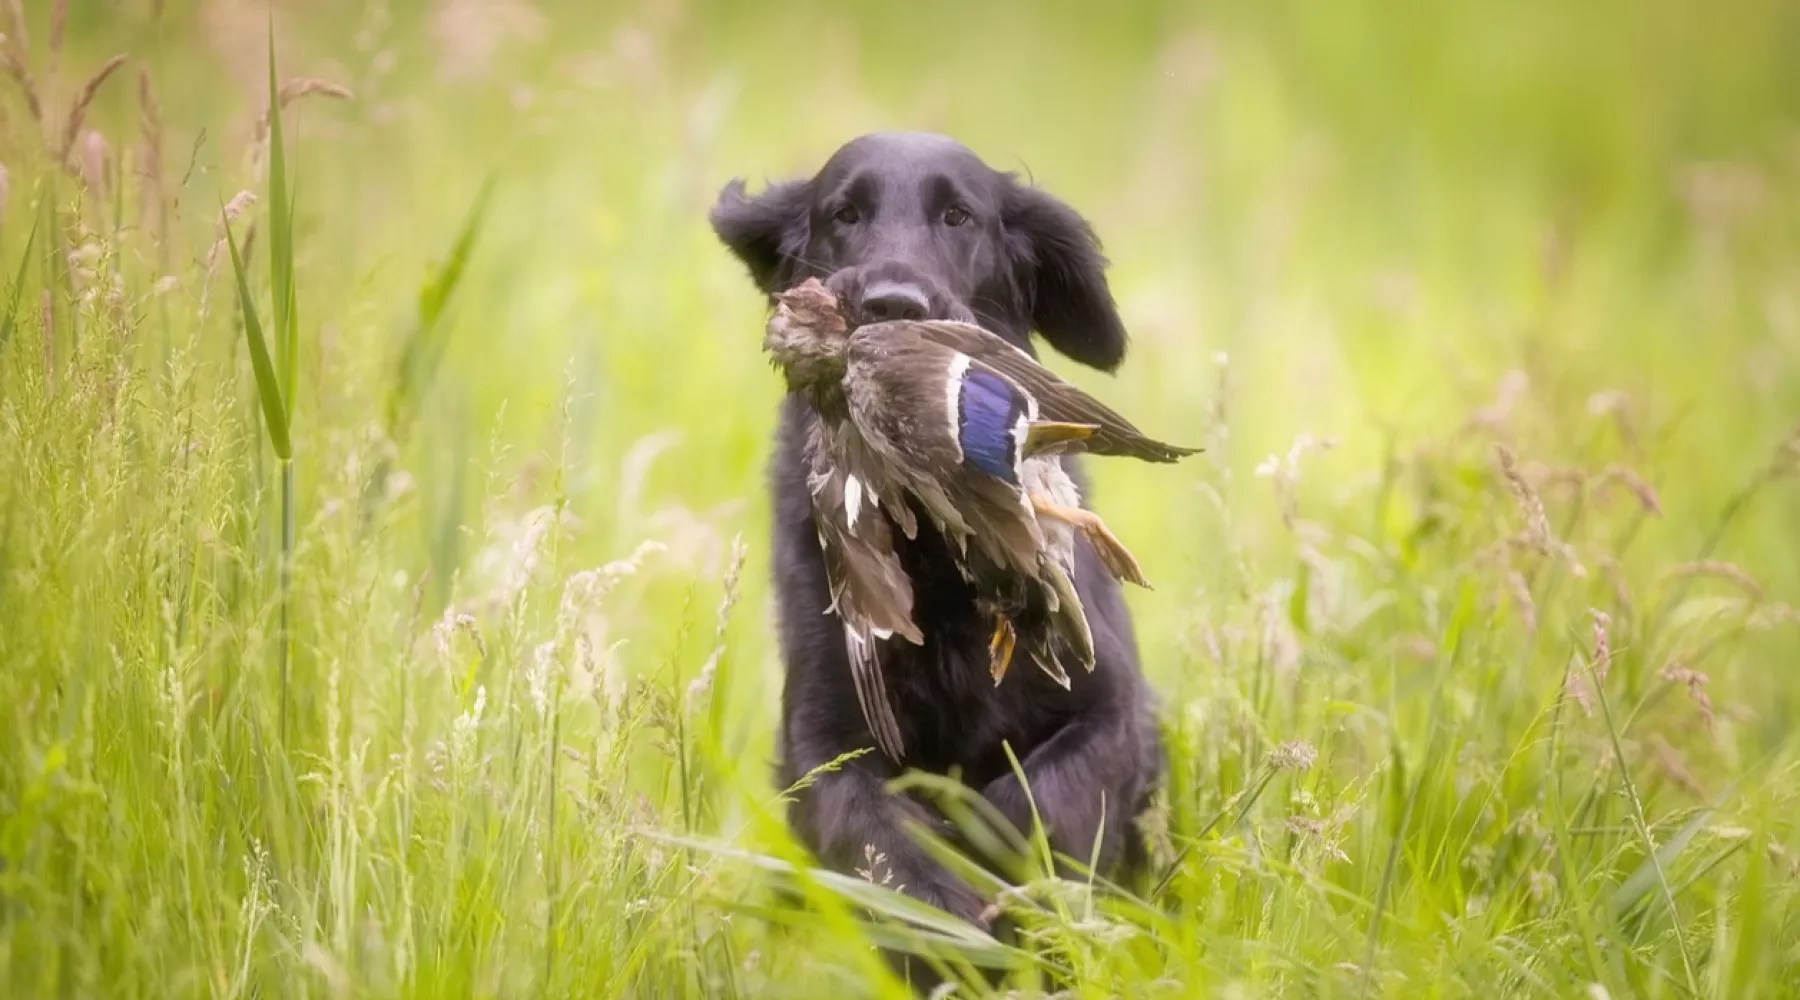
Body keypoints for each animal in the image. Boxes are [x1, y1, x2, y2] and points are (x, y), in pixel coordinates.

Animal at [709, 133, 1159, 928]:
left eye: (959, 216)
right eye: (845, 214)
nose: (892, 305)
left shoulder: (1112, 709)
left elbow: (1033, 804)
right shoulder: (822, 741)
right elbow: (884, 843)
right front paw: (947, 917)